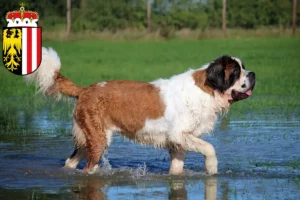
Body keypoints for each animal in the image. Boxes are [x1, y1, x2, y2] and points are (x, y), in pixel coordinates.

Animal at [26, 47, 255, 175]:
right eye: (236, 72)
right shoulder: (179, 134)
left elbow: (176, 169)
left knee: (71, 161)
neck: (208, 90)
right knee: (89, 167)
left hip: (88, 139)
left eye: (244, 67)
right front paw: (212, 169)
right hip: (98, 141)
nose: (252, 73)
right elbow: (210, 148)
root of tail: (86, 89)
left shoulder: (178, 143)